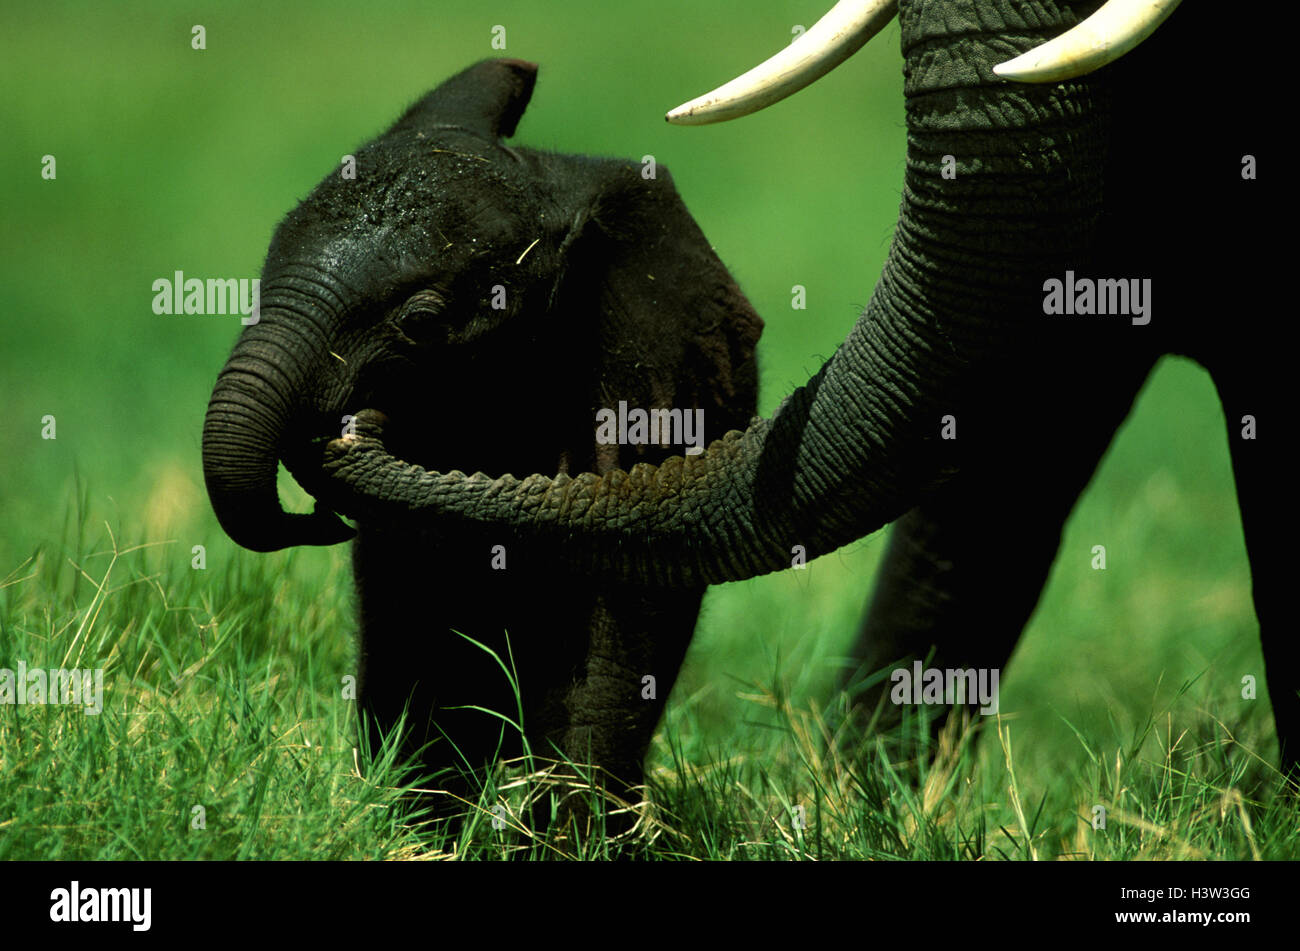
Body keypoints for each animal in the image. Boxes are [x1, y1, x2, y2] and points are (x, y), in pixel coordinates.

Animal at [201, 58, 763, 827]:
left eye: (422, 323)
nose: (353, 425)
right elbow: (408, 618)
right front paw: (422, 830)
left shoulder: (648, 399)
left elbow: (616, 619)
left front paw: (568, 832)